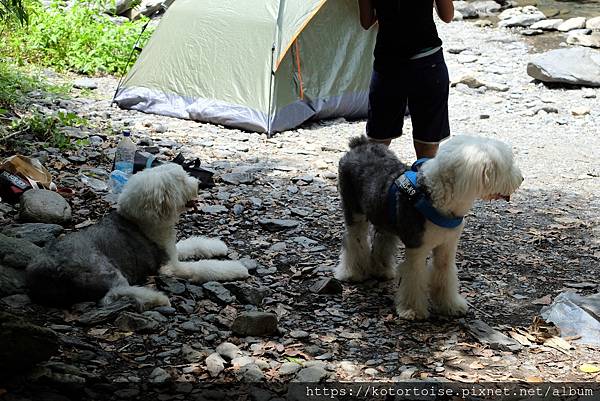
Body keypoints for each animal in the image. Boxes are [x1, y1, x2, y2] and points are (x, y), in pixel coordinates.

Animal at [26, 162, 248, 310]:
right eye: (181, 180)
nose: (199, 184)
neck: (143, 221)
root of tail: (42, 272)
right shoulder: (169, 266)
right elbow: (203, 267)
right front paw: (235, 269)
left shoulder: (170, 248)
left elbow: (191, 244)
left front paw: (217, 246)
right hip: (100, 268)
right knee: (113, 294)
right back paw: (157, 298)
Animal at [336, 136, 524, 320]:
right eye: (508, 166)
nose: (522, 179)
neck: (436, 198)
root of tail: (359, 144)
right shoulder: (417, 247)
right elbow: (414, 276)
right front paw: (412, 310)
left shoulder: (447, 246)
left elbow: (445, 273)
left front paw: (451, 306)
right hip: (354, 210)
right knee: (354, 239)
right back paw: (352, 272)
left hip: (382, 214)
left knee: (382, 237)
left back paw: (381, 270)